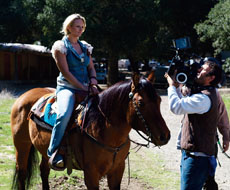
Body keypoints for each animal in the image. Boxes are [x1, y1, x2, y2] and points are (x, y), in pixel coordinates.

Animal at [10, 72, 169, 189]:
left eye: (159, 100)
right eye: (141, 102)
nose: (165, 136)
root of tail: (26, 95)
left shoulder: (117, 170)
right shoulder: (91, 174)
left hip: (44, 149)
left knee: (44, 170)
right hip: (22, 145)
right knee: (22, 173)